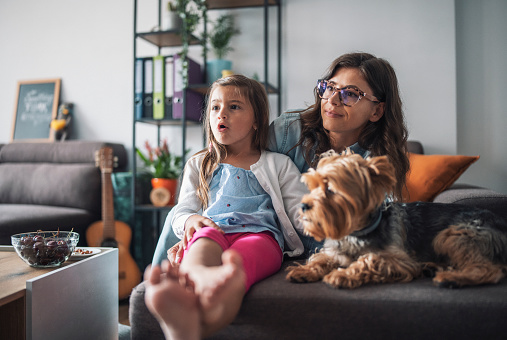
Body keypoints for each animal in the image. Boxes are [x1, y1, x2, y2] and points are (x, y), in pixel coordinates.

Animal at [288, 153, 507, 288]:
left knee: (488, 269)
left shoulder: (401, 261)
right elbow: (321, 257)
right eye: (313, 186)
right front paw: (305, 270)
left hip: (454, 234)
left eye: (331, 189)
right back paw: (434, 268)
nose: (303, 205)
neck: (356, 231)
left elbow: (368, 259)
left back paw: (450, 278)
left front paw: (341, 274)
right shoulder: (335, 251)